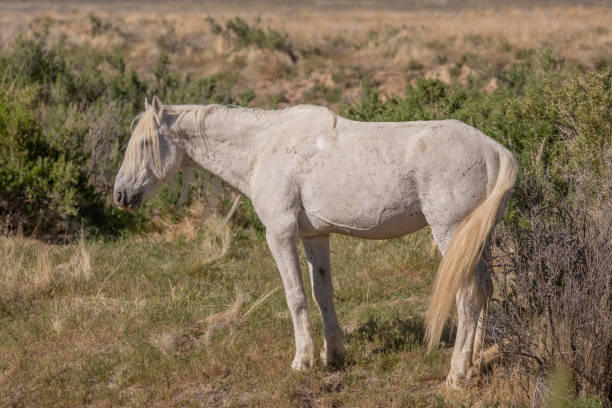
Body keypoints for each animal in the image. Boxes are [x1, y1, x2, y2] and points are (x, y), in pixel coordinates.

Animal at [113, 95, 516, 386]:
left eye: (145, 143)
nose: (120, 195)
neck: (264, 147)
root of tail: (495, 151)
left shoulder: (280, 233)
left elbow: (295, 296)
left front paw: (303, 360)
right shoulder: (315, 236)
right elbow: (323, 293)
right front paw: (333, 355)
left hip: (451, 234)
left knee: (467, 297)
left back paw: (457, 373)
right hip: (477, 241)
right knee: (484, 289)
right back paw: (476, 362)